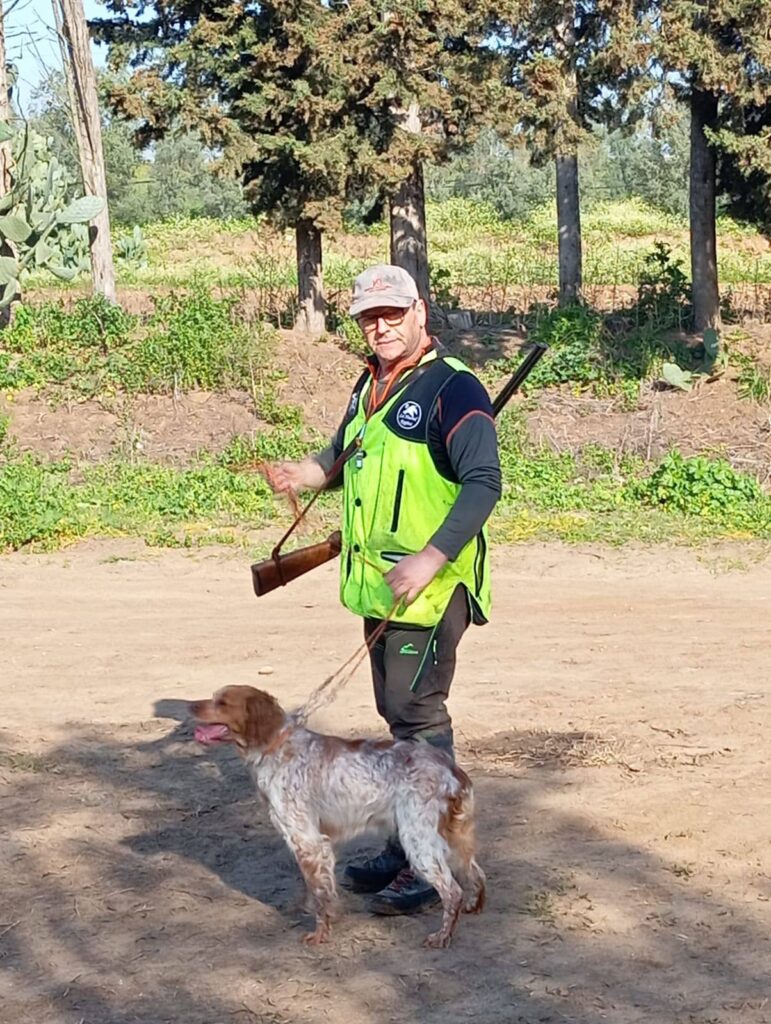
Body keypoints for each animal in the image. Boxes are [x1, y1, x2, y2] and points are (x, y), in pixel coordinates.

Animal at [188, 684, 483, 946]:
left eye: (223, 702)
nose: (190, 706)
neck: (277, 747)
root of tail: (452, 770)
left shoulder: (306, 840)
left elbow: (320, 894)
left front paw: (320, 934)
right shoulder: (315, 844)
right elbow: (318, 889)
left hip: (418, 840)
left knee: (452, 891)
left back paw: (441, 936)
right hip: (454, 839)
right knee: (476, 875)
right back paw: (474, 906)